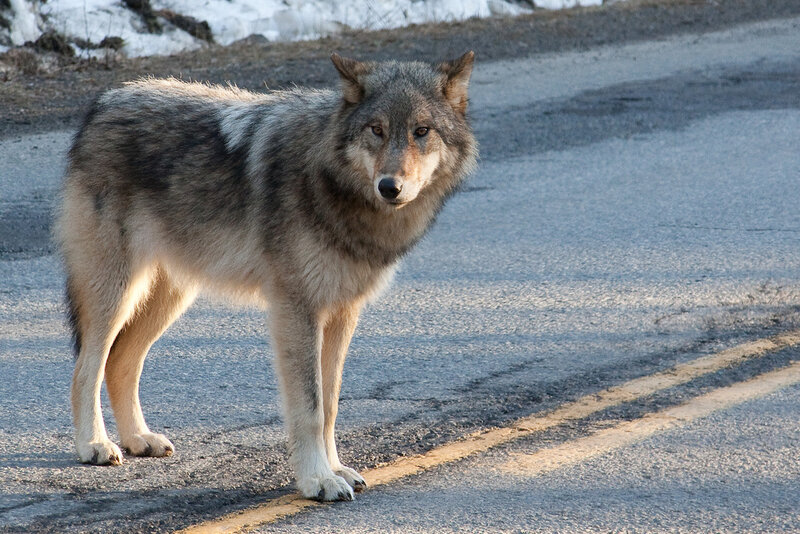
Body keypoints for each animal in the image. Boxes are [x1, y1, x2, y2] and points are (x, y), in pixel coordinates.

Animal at [56, 51, 477, 501]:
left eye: (421, 131)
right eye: (376, 130)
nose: (389, 187)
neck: (329, 184)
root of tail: (104, 103)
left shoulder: (343, 312)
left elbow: (330, 405)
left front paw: (336, 470)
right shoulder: (296, 309)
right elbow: (310, 407)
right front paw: (317, 481)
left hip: (170, 299)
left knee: (120, 363)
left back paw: (139, 439)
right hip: (115, 294)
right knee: (86, 368)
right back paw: (95, 445)